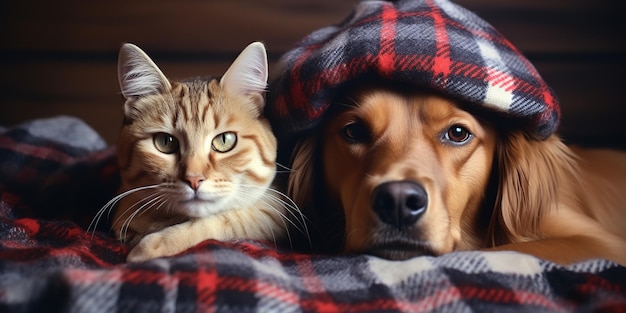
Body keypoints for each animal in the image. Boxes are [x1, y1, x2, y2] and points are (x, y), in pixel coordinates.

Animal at [95, 40, 304, 260]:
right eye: (165, 142)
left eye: (224, 140)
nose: (194, 180)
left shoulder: (274, 209)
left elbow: (224, 221)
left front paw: (152, 247)